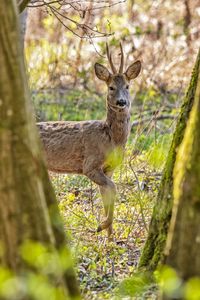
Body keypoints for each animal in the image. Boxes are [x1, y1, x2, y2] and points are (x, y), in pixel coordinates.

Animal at [37, 42, 141, 239]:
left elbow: (106, 195)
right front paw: (102, 226)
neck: (111, 139)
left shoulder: (109, 169)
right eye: (111, 87)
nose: (121, 102)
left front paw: (110, 237)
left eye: (128, 86)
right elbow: (113, 188)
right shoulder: (90, 165)